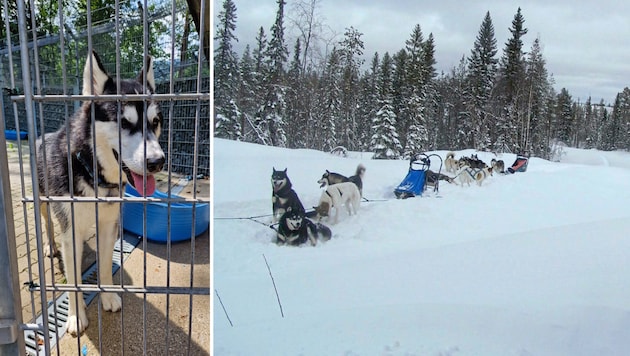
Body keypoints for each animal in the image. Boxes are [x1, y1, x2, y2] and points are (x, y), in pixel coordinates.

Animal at [36, 51, 165, 336]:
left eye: (155, 122)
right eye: (124, 123)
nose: (157, 162)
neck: (92, 172)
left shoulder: (109, 226)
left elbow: (105, 265)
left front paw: (107, 296)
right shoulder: (71, 231)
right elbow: (73, 281)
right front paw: (76, 316)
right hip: (42, 201)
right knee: (47, 223)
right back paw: (50, 244)